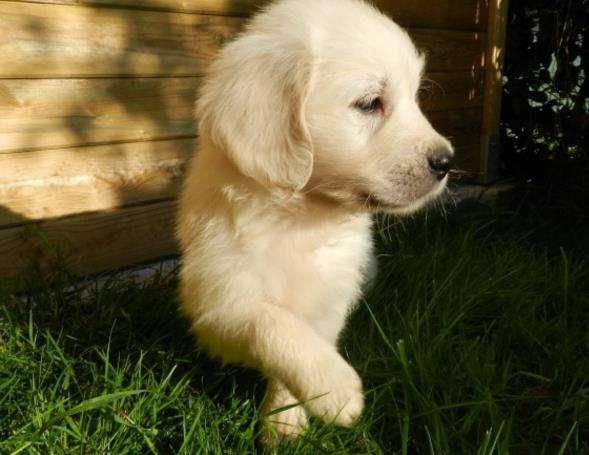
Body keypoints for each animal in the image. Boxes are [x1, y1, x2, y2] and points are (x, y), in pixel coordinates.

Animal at [177, 0, 452, 442]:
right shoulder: (217, 298)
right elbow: (271, 322)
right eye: (370, 102)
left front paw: (285, 421)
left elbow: (301, 345)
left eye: (414, 98)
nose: (446, 162)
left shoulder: (330, 299)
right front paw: (334, 390)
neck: (302, 219)